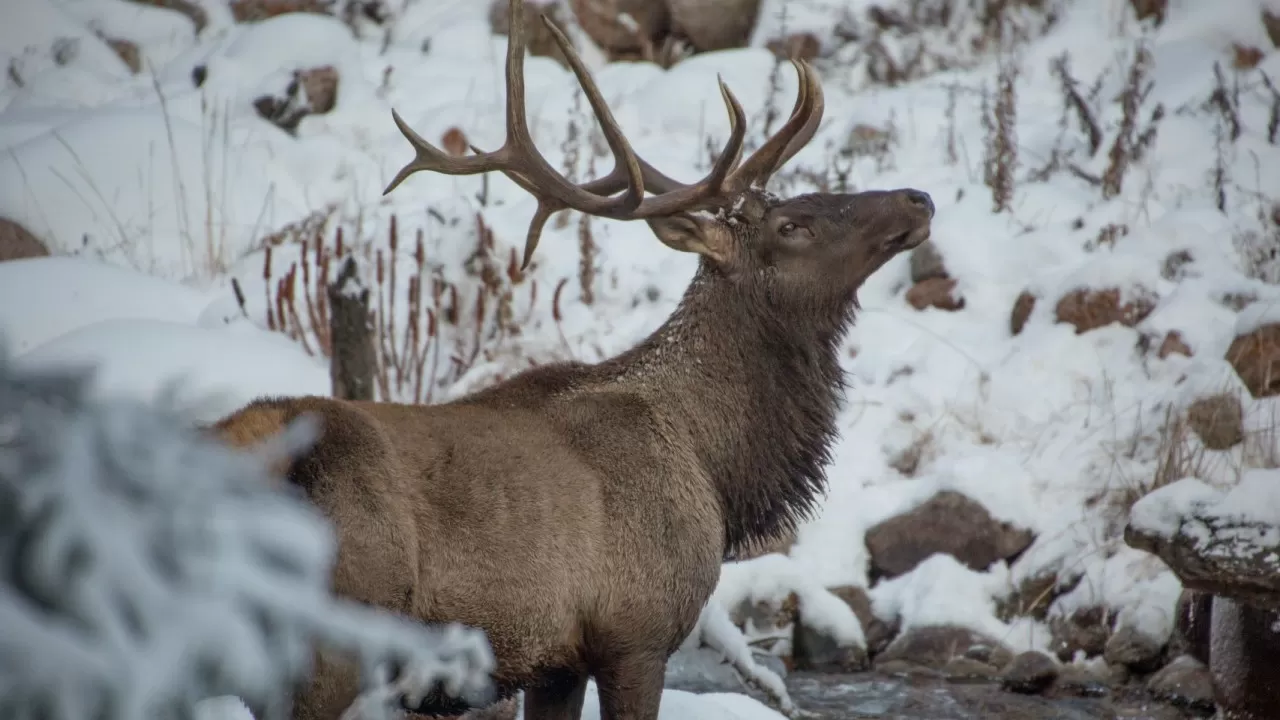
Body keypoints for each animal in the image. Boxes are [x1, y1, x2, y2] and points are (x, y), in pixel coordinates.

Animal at [207, 1, 931, 717]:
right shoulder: (636, 633)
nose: (917, 199)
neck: (716, 468)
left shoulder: (555, 661)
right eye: (793, 226)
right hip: (332, 641)